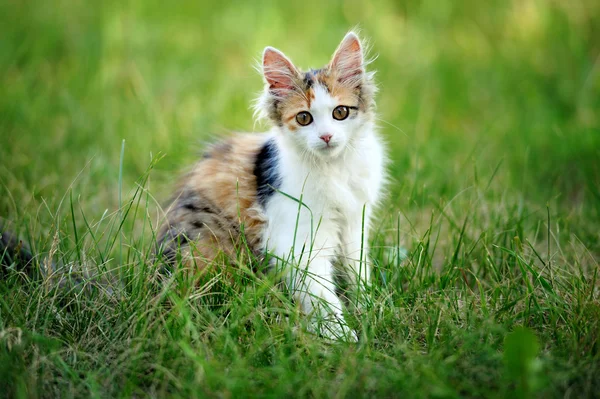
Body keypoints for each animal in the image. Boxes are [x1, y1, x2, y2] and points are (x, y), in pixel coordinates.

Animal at [157, 32, 386, 344]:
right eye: (304, 118)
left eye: (340, 112)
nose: (326, 136)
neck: (333, 169)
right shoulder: (295, 238)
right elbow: (321, 293)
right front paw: (341, 335)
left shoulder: (354, 223)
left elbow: (357, 271)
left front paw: (368, 307)